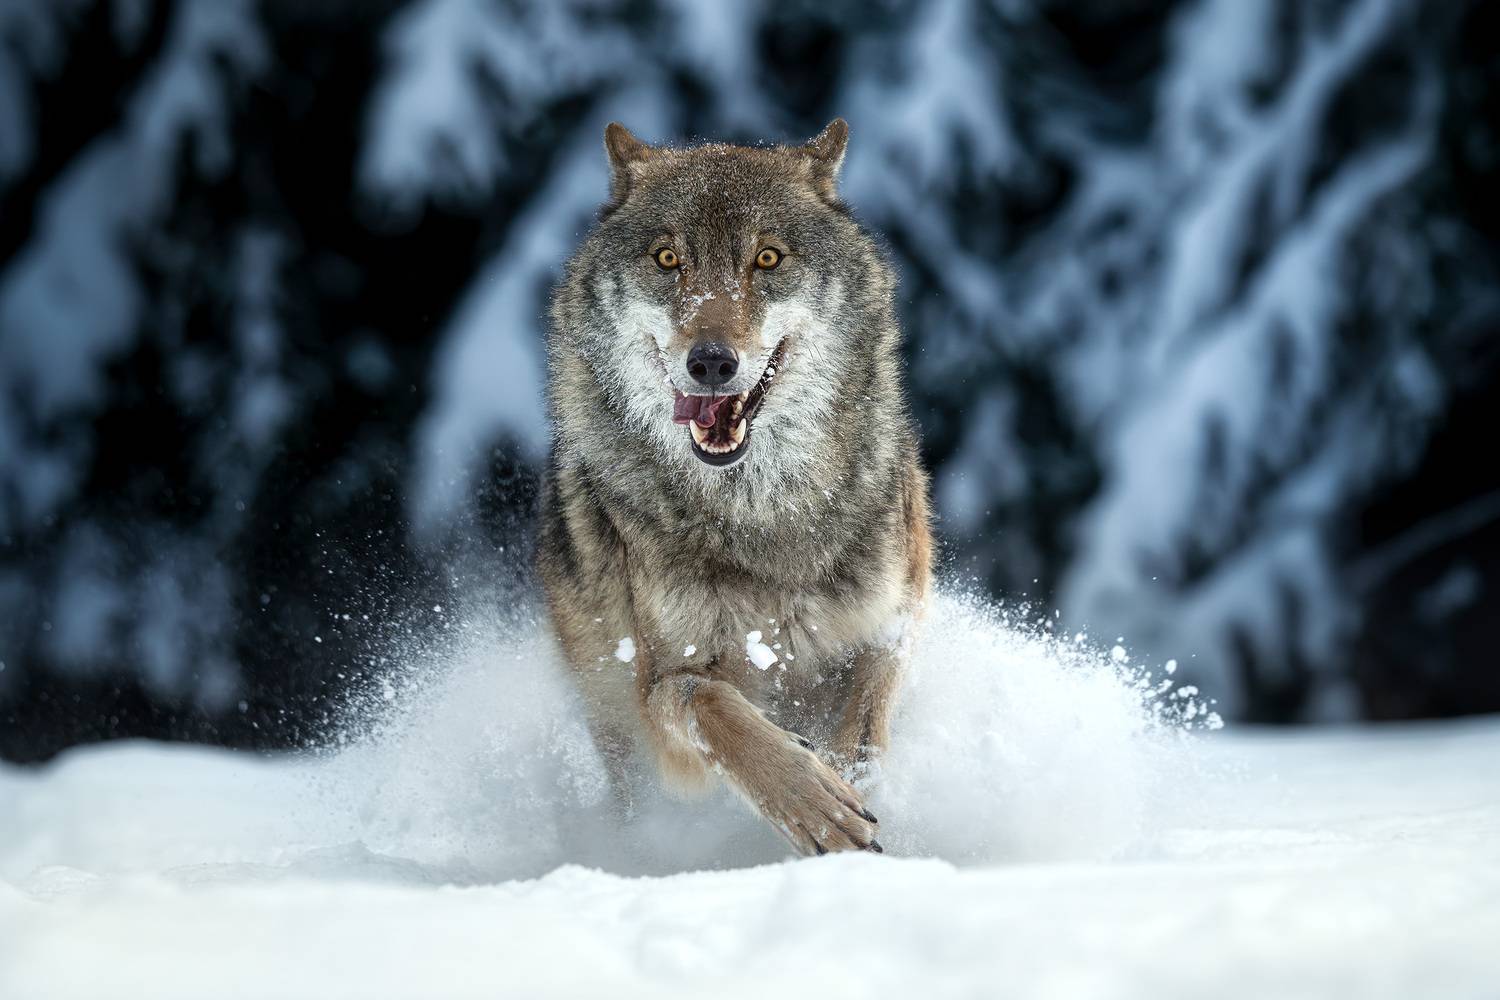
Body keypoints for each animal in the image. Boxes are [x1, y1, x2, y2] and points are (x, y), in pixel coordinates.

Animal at [538, 119, 932, 855]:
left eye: (768, 260)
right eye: (668, 260)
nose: (712, 362)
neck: (761, 511)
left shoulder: (892, 623)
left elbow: (863, 729)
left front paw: (850, 798)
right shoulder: (660, 688)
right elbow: (711, 706)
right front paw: (815, 804)